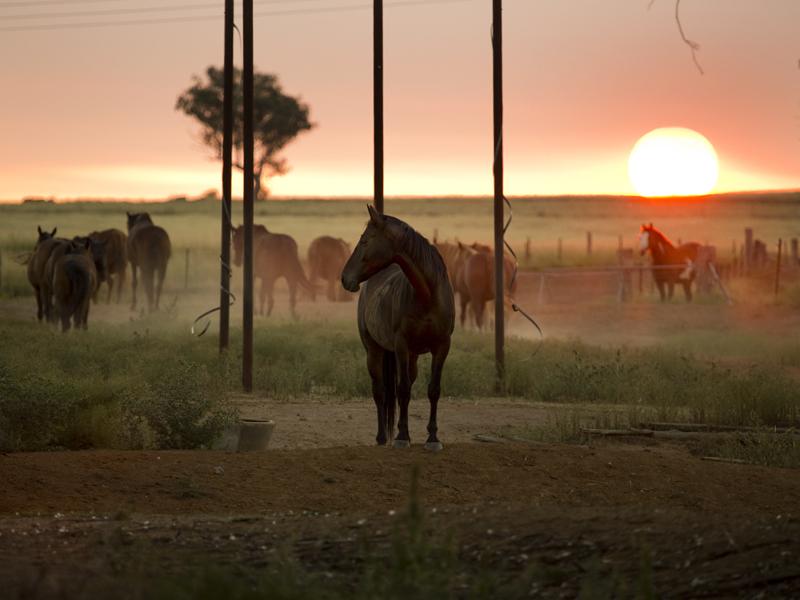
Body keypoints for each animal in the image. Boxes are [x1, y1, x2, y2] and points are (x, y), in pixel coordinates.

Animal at [340, 206, 456, 450]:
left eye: (365, 240)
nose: (345, 278)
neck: (427, 296)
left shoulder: (442, 347)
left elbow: (433, 390)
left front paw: (433, 438)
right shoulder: (401, 346)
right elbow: (402, 390)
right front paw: (402, 436)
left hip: (411, 357)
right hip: (374, 352)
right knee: (380, 392)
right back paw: (383, 437)